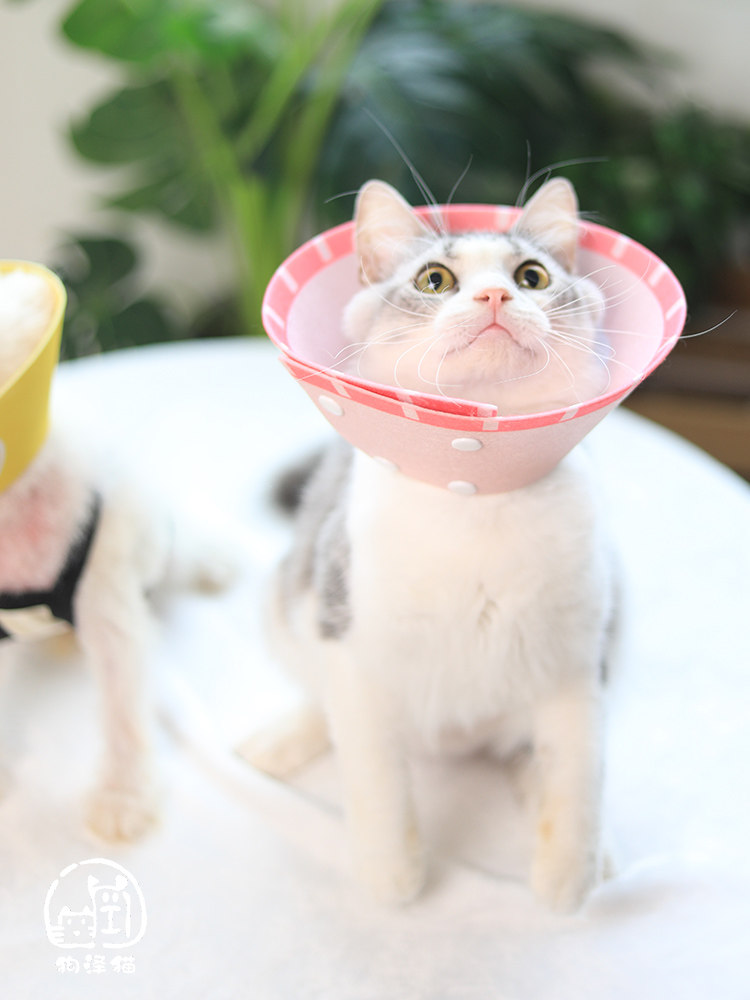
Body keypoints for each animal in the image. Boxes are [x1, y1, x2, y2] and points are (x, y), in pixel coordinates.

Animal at [245, 178, 617, 912]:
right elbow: (375, 777)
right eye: (434, 279)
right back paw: (282, 739)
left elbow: (577, 776)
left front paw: (569, 875)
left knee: (527, 753)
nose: (495, 297)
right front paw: (391, 875)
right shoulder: (355, 645)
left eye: (531, 277)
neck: (478, 503)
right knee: (318, 693)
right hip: (294, 599)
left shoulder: (575, 661)